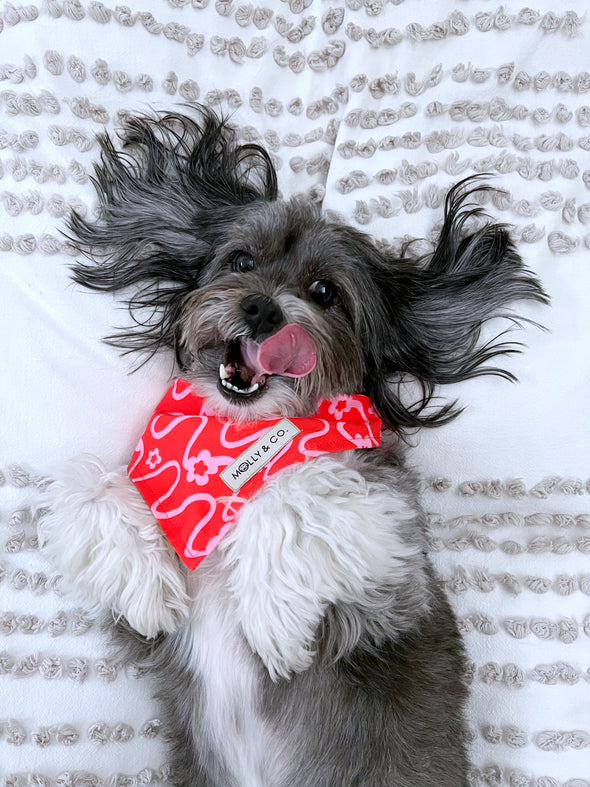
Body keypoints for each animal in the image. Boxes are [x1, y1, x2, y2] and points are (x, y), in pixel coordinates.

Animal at [40, 107, 552, 787]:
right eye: (239, 261)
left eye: (324, 291)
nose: (261, 310)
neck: (238, 432)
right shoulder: (157, 638)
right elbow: (89, 482)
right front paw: (147, 583)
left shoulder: (391, 586)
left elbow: (298, 489)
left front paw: (272, 618)